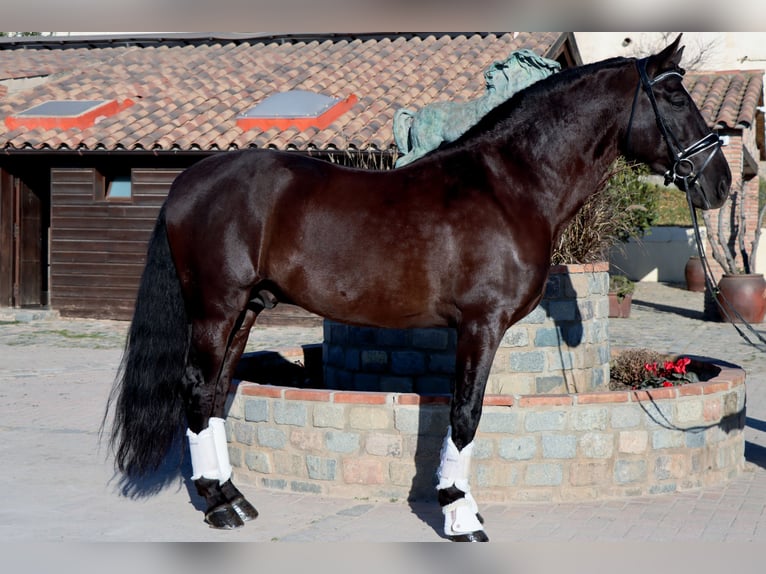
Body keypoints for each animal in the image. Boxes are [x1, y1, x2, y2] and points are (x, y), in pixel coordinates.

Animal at [106, 35, 730, 542]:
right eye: (677, 98)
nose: (719, 183)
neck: (511, 186)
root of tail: (191, 179)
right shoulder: (480, 325)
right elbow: (465, 414)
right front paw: (459, 514)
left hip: (247, 310)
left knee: (215, 392)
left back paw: (232, 497)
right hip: (215, 308)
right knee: (195, 389)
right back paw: (216, 506)